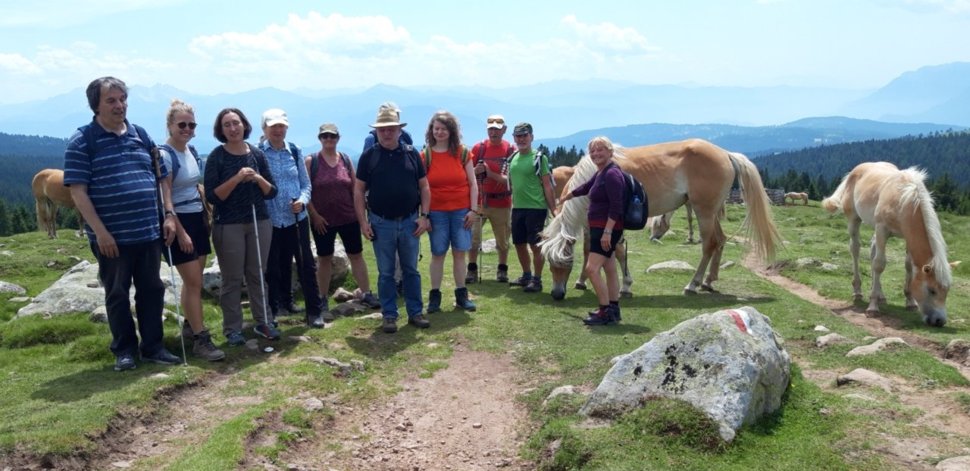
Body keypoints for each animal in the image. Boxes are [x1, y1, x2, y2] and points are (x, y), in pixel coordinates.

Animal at [536, 138, 780, 298]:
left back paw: (693, 284)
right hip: (711, 213)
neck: (595, 176)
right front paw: (582, 281)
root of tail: (726, 153)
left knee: (709, 244)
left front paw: (625, 285)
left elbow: (618, 252)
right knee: (720, 240)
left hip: (704, 212)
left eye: (564, 262)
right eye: (548, 261)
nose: (556, 293)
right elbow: (590, 250)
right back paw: (709, 282)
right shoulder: (590, 223)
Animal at [816, 162, 952, 328]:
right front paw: (873, 307)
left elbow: (908, 266)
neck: (903, 200)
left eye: (947, 291)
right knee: (855, 249)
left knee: (873, 251)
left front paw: (910, 301)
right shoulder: (882, 229)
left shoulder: (907, 237)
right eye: (932, 290)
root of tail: (855, 171)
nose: (940, 321)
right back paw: (858, 291)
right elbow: (879, 264)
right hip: (854, 220)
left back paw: (880, 294)